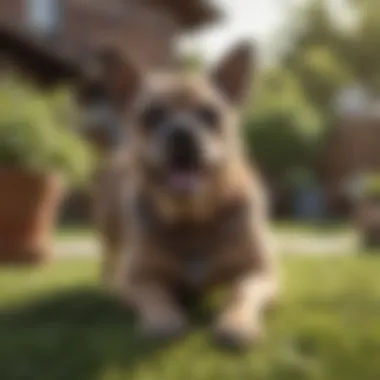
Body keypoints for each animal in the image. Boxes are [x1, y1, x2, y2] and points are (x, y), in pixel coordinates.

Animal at [89, 43, 280, 348]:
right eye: (151, 116)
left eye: (211, 114)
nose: (182, 133)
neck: (192, 219)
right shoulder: (137, 279)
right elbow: (154, 294)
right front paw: (164, 319)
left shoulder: (260, 271)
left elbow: (242, 291)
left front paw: (236, 322)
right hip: (108, 228)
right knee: (109, 259)